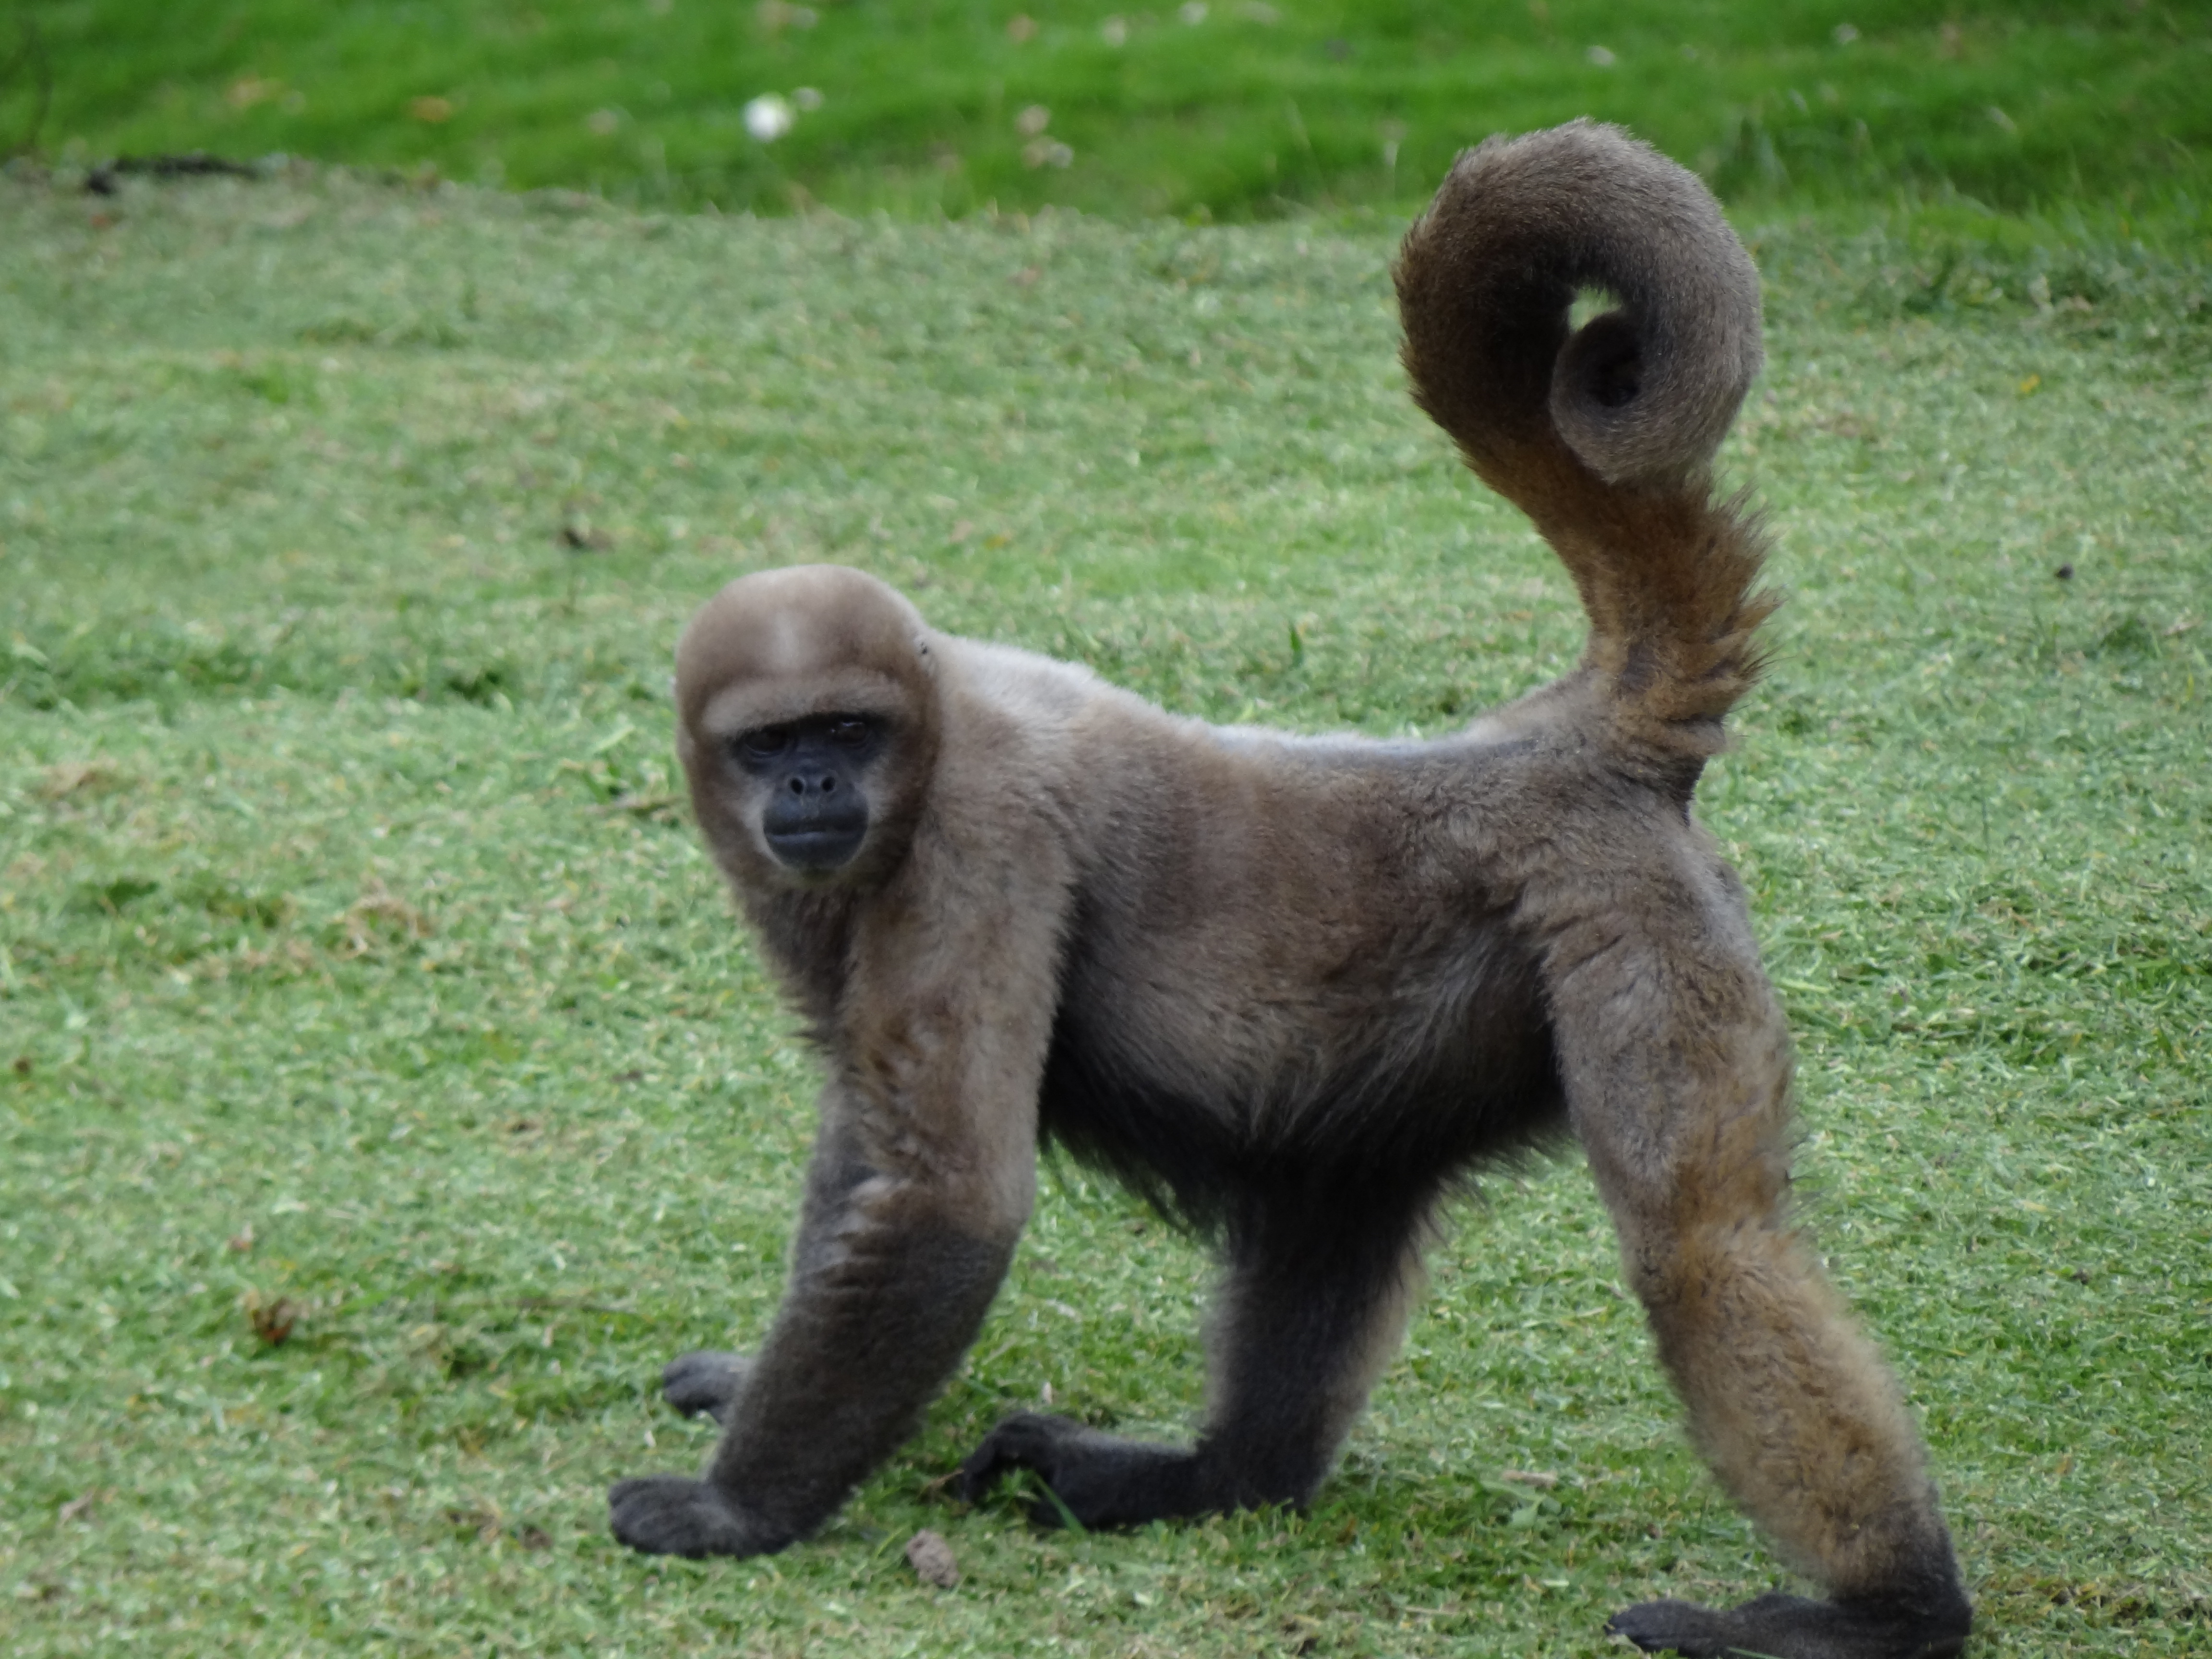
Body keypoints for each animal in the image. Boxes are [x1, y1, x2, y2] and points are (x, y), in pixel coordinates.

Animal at [607, 121, 1974, 1659]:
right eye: (769, 741)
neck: (937, 725)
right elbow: (866, 1141)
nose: (810, 789)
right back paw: (1217, 1478)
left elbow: (950, 1194)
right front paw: (750, 1384)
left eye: (846, 729)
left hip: (1626, 912)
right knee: (1337, 1196)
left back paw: (1889, 1609)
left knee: (1707, 1251)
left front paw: (735, 1511)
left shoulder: (976, 837)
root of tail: (1549, 739)